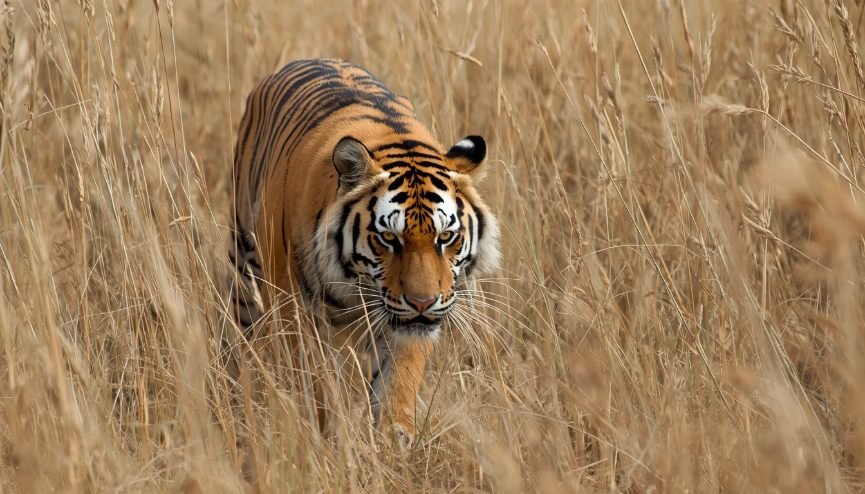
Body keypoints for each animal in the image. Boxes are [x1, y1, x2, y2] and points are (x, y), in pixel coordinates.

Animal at [228, 58, 500, 444]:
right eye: (388, 238)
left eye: (446, 237)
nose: (422, 302)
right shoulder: (294, 313)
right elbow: (316, 386)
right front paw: (326, 437)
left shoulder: (409, 326)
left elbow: (398, 380)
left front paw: (393, 436)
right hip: (245, 264)